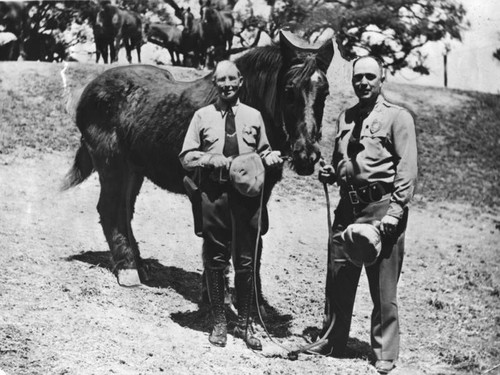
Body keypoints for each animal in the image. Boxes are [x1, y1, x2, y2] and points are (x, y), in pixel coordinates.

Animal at [63, 30, 336, 288]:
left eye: (325, 92)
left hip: (133, 170)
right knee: (110, 209)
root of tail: (89, 92)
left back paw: (139, 264)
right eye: (289, 90)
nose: (306, 154)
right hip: (112, 166)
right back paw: (128, 268)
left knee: (124, 210)